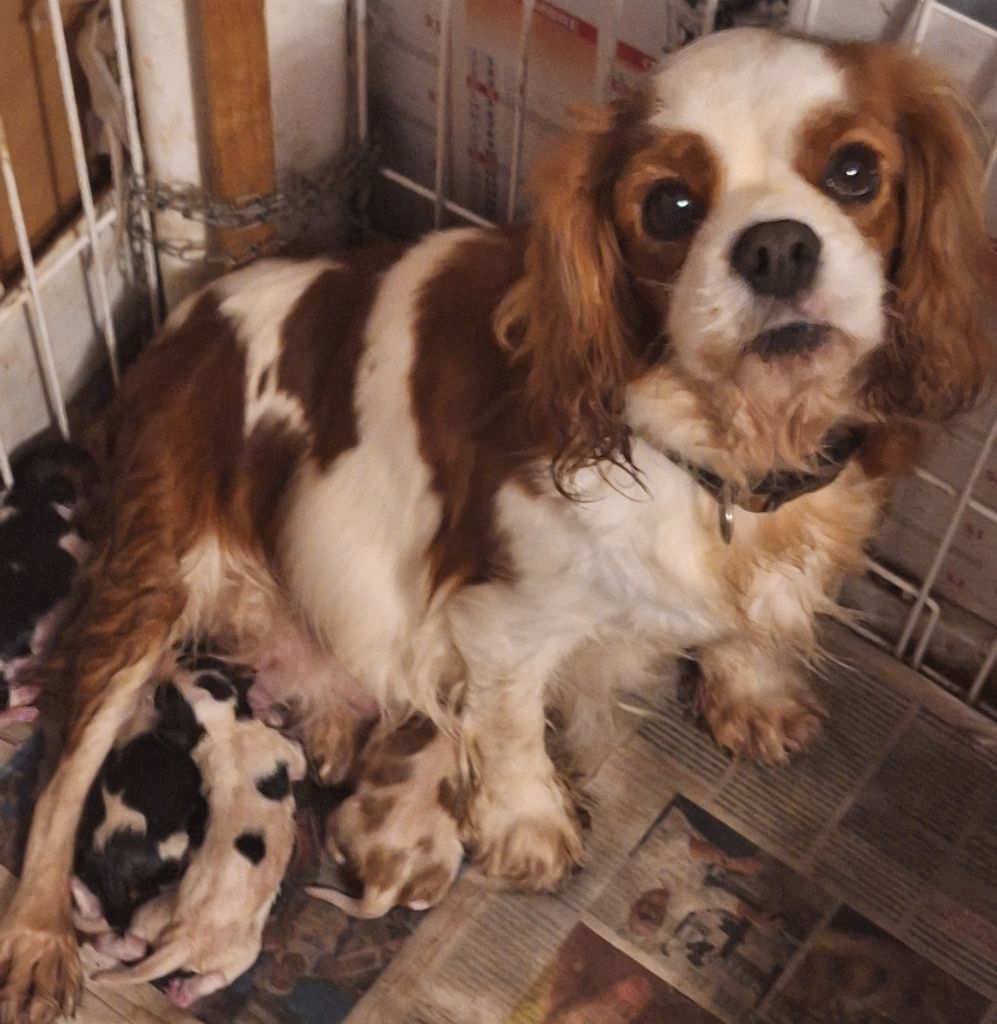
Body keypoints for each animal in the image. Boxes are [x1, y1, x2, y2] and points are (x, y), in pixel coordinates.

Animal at [93, 655, 305, 999]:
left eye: (168, 695)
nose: (165, 678)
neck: (225, 730)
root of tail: (187, 942)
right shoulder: (285, 750)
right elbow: (299, 759)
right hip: (156, 912)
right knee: (135, 945)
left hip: (241, 952)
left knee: (209, 974)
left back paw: (184, 992)